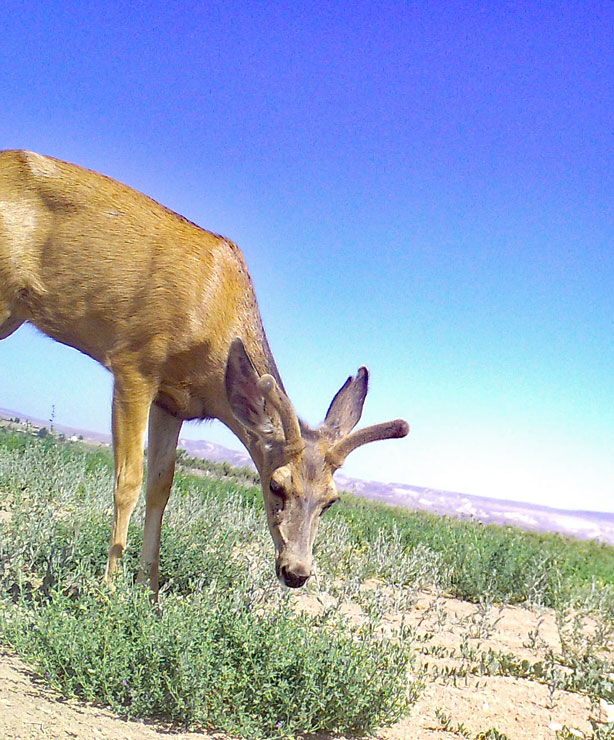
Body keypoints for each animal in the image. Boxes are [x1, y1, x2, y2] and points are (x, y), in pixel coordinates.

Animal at [0, 150, 409, 595]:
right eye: (276, 484)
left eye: (332, 500)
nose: (297, 572)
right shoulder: (134, 363)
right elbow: (128, 481)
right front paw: (109, 588)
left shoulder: (173, 402)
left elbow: (161, 486)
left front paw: (149, 587)